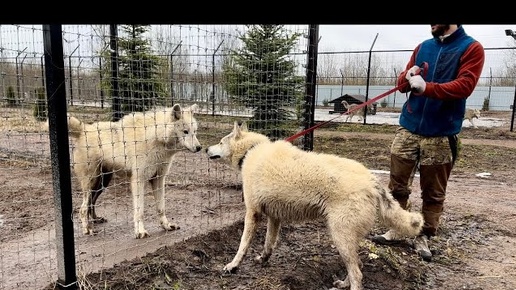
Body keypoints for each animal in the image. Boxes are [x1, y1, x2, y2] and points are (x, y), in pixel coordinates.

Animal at [68, 103, 204, 238]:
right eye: (185, 132)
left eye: (195, 131)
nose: (199, 147)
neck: (156, 137)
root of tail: (84, 128)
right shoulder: (138, 181)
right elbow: (140, 211)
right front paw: (140, 231)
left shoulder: (159, 179)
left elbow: (161, 207)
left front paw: (166, 226)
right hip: (92, 183)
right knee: (83, 208)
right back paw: (88, 229)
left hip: (102, 184)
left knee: (91, 203)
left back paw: (96, 220)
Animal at [206, 122, 424, 290]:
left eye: (220, 142)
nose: (206, 149)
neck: (251, 151)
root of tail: (372, 180)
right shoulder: (274, 218)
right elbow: (269, 244)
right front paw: (263, 259)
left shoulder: (252, 214)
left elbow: (242, 246)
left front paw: (232, 266)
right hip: (347, 241)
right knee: (358, 266)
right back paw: (342, 284)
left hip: (340, 237)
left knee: (358, 274)